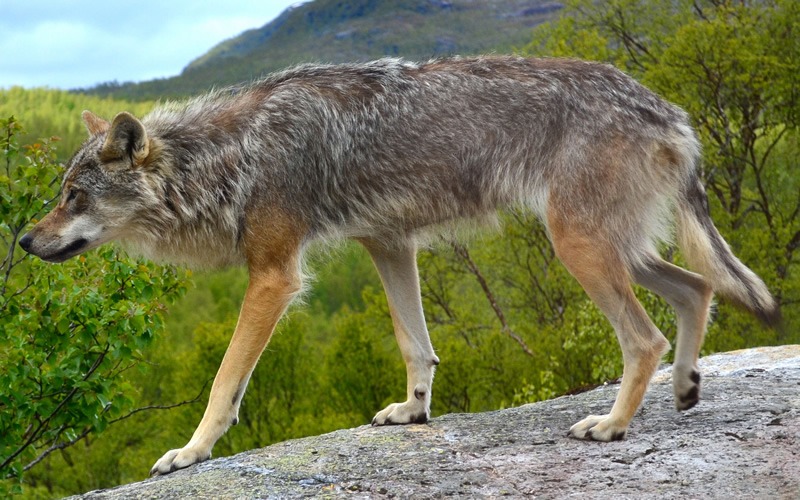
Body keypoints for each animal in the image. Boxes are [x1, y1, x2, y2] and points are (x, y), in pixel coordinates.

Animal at [18, 56, 780, 474]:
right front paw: (414, 412)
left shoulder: (274, 276)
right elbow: (416, 344)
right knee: (698, 288)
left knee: (645, 337)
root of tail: (669, 110)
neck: (231, 157)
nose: (24, 240)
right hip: (616, 249)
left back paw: (614, 425)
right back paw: (685, 389)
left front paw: (191, 452)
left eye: (73, 196)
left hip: (581, 248)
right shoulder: (388, 244)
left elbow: (223, 382)